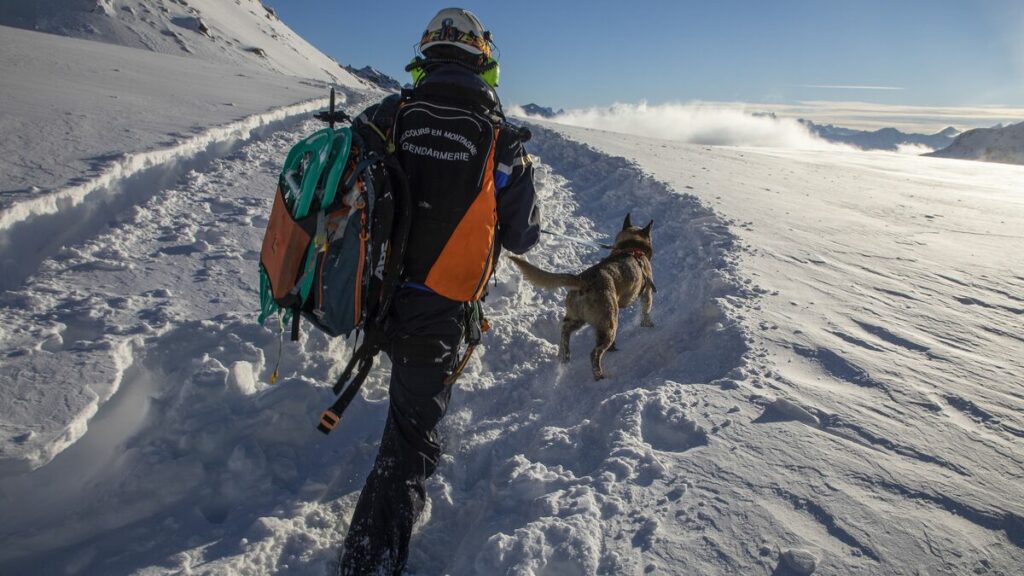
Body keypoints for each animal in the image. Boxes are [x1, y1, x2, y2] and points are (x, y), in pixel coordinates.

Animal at [505, 213, 655, 379]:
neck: (630, 247)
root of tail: (583, 281)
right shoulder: (647, 292)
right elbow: (646, 310)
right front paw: (648, 325)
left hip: (577, 317)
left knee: (565, 330)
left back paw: (564, 354)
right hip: (608, 321)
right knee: (594, 353)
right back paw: (599, 375)